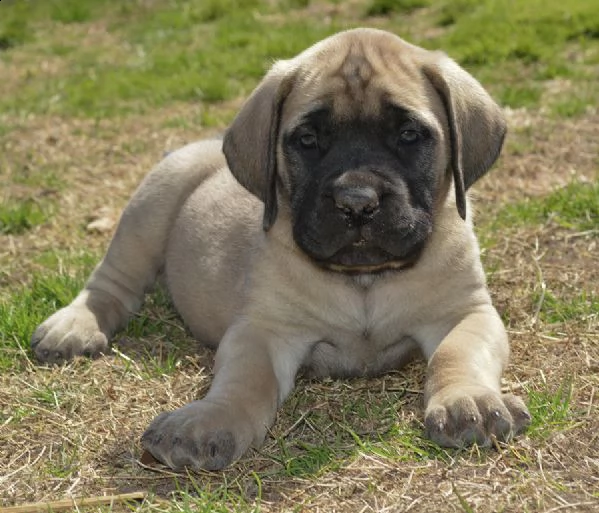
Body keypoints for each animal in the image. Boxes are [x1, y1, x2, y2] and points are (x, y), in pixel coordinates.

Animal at [31, 27, 528, 468]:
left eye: (408, 135)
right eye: (307, 141)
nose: (357, 202)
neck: (364, 282)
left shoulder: (466, 312)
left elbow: (456, 353)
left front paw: (469, 401)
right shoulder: (263, 330)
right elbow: (245, 380)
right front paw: (207, 422)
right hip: (151, 207)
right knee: (112, 281)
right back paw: (73, 326)